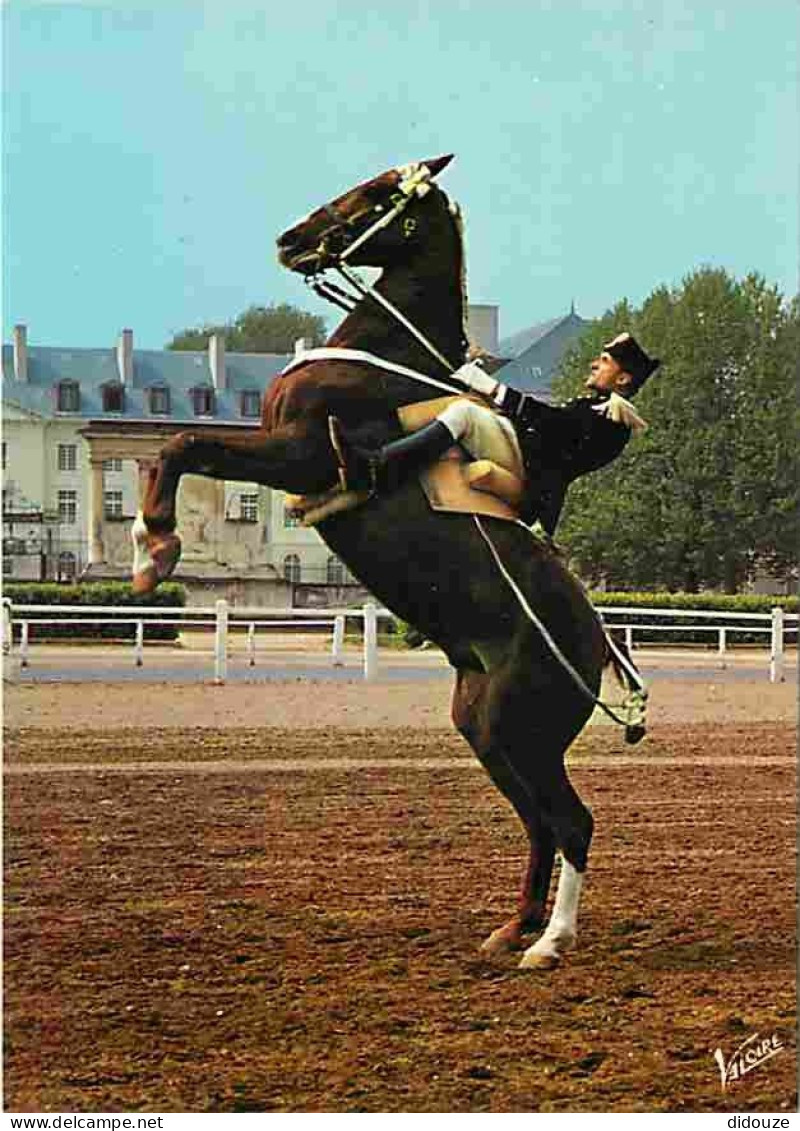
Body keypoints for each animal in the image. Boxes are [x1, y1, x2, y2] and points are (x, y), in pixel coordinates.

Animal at [132, 157, 606, 972]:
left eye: (381, 191)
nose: (292, 238)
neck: (388, 362)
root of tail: (600, 649)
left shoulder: (299, 452)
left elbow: (185, 443)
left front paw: (156, 545)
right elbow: (185, 445)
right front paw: (150, 543)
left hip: (519, 731)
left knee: (572, 822)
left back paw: (549, 942)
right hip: (489, 733)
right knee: (541, 823)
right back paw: (512, 927)